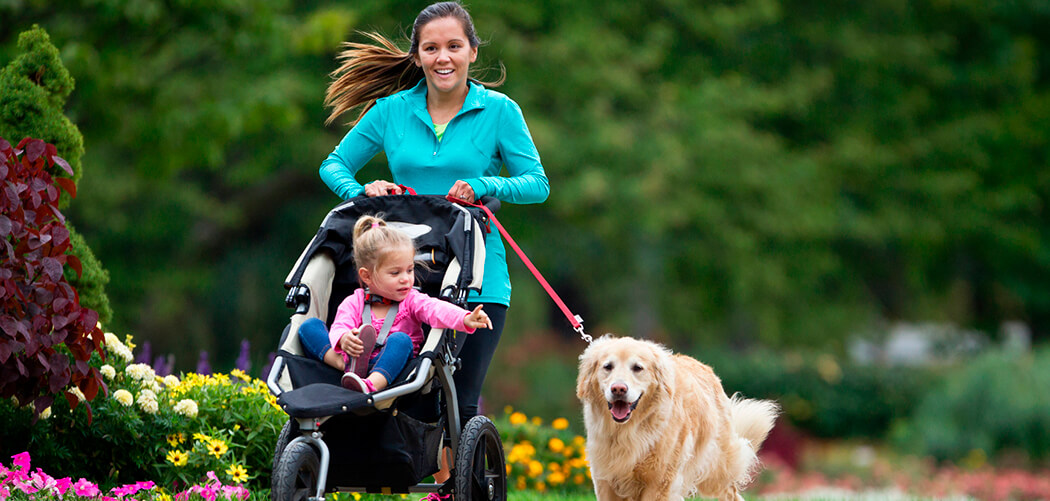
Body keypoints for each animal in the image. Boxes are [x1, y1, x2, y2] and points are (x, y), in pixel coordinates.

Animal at [575, 331, 781, 499]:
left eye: (637, 368)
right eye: (607, 367)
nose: (618, 389)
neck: (629, 430)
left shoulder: (659, 482)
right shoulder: (605, 480)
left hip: (716, 469)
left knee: (731, 492)